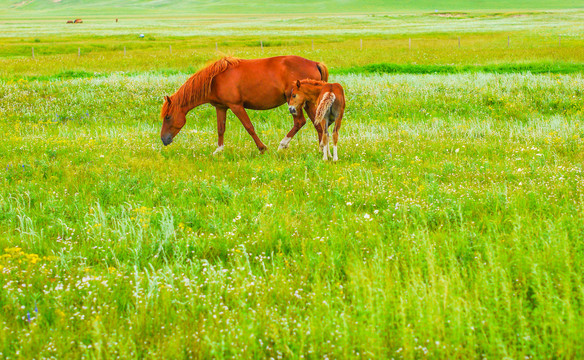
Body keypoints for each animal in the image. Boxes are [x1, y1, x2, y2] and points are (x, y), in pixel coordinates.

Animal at [159, 55, 328, 154]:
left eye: (167, 117)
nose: (163, 140)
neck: (215, 79)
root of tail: (315, 63)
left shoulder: (236, 106)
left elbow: (249, 127)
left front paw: (262, 148)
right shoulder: (221, 107)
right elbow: (221, 129)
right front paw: (219, 150)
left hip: (294, 102)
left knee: (300, 122)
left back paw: (283, 144)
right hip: (307, 103)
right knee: (317, 124)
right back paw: (321, 149)